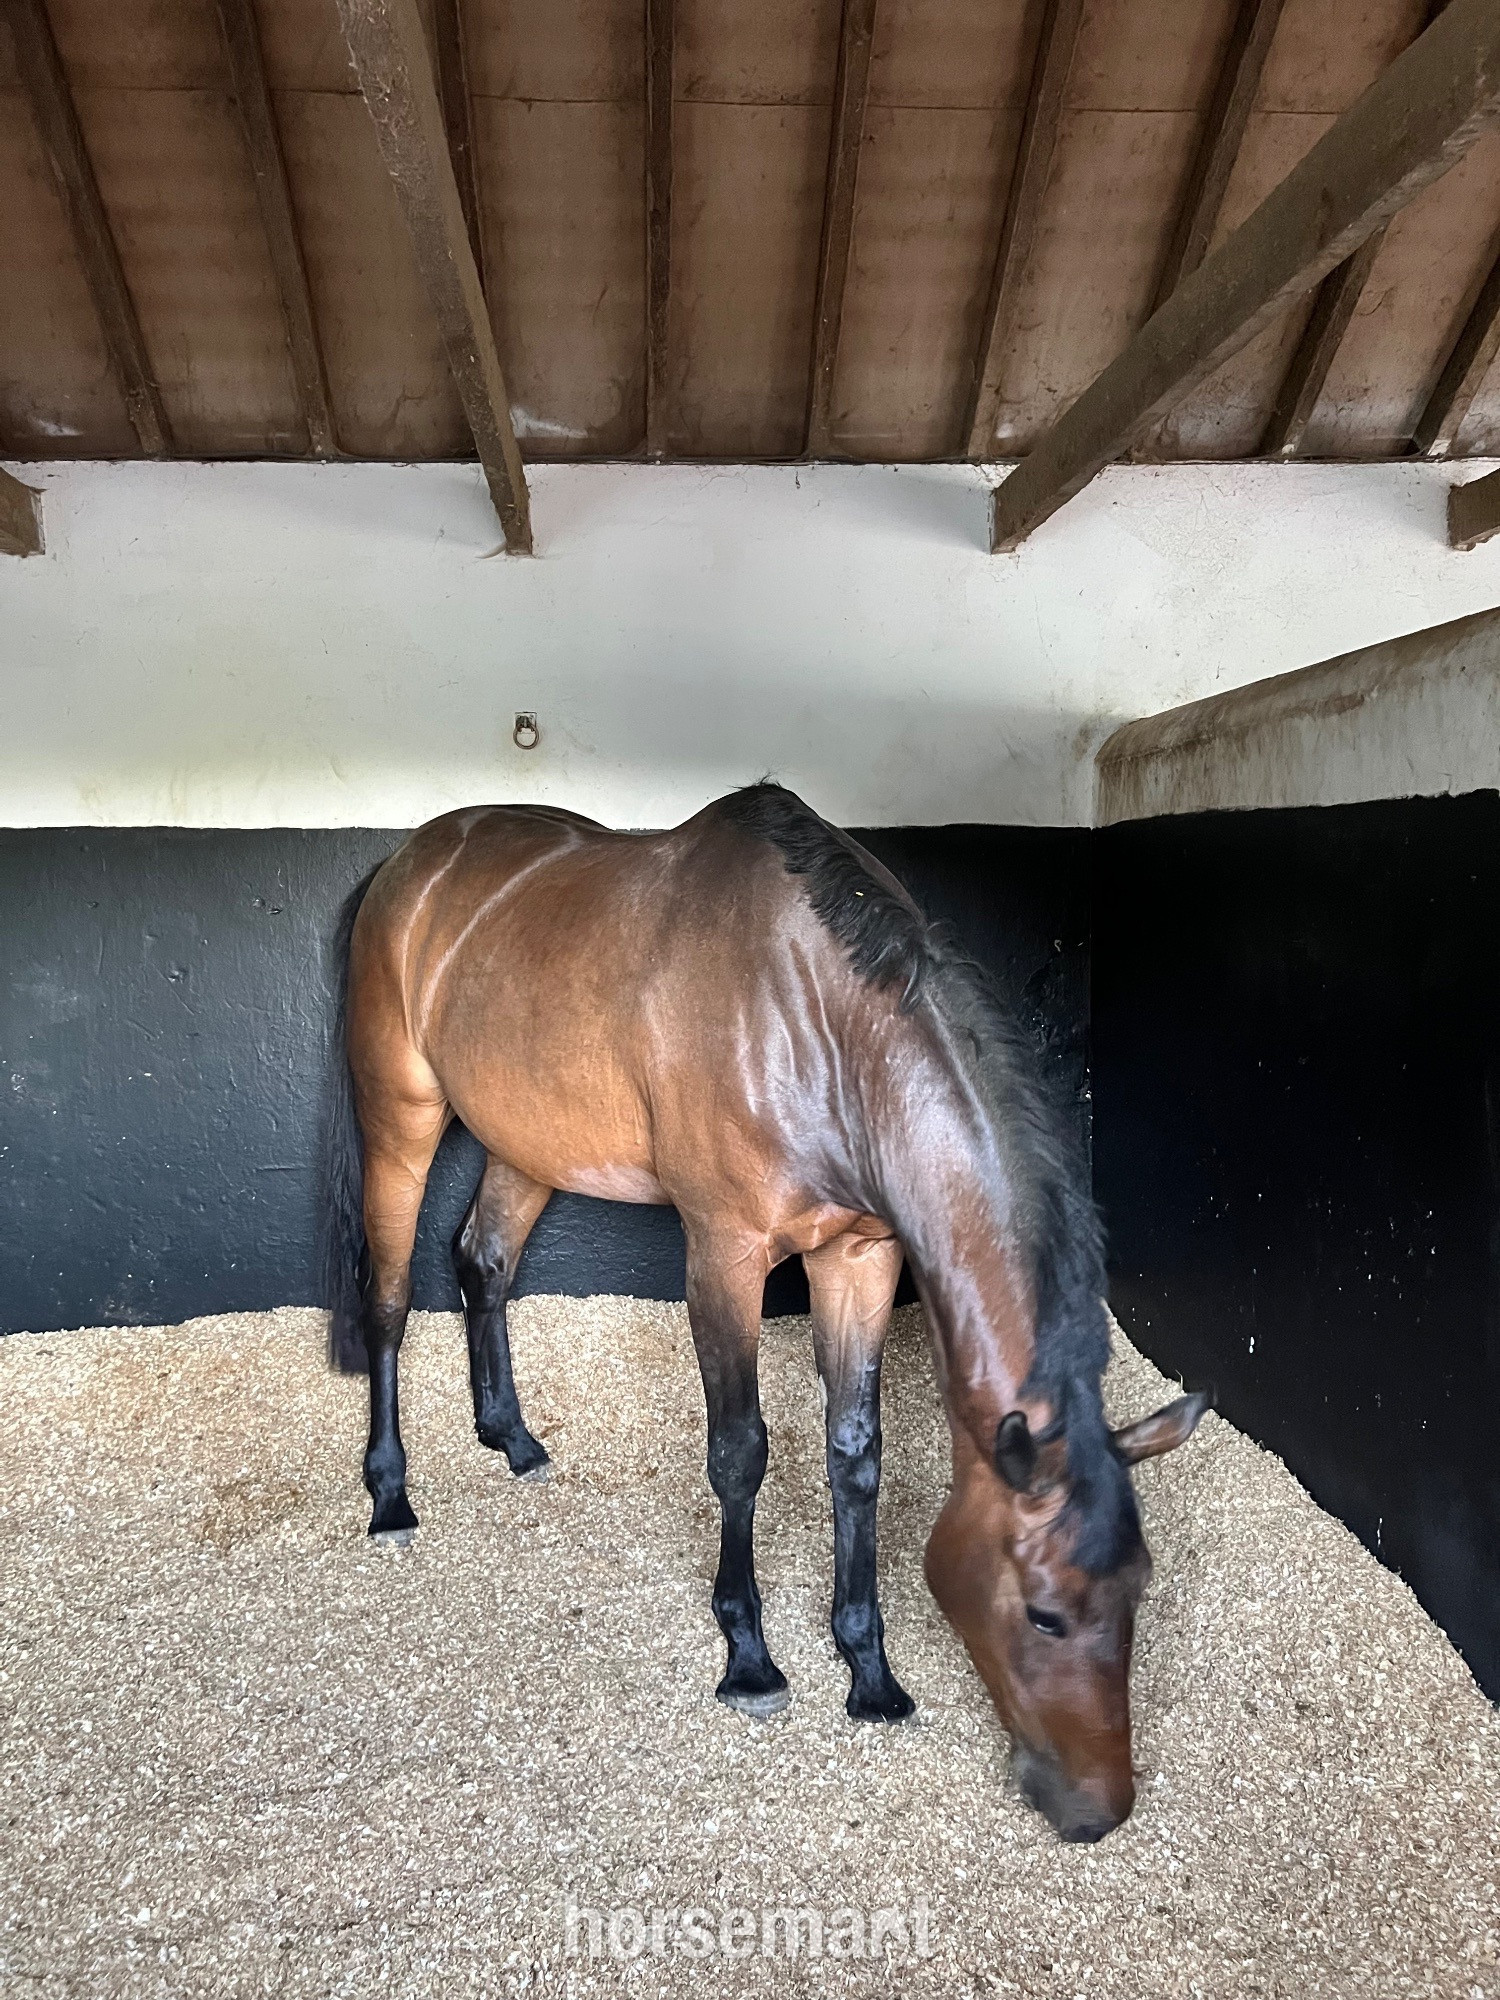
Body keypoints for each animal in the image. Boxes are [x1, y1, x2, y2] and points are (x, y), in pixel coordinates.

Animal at [323, 784, 1208, 1842]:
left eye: (1141, 1591)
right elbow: (741, 1451)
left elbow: (855, 1457)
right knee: (387, 1301)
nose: (1097, 1812)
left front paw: (868, 1668)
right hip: (401, 1120)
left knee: (484, 1262)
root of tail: (412, 863)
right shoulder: (726, 1254)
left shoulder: (861, 1258)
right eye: (1045, 1612)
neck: (814, 1026)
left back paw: (511, 1435)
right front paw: (749, 1658)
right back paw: (390, 1495)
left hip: (527, 1138)